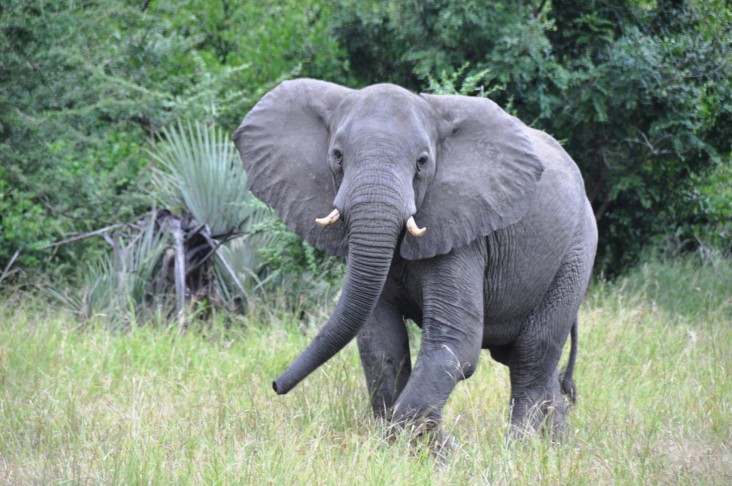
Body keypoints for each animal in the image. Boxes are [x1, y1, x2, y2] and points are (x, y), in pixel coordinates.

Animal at [234, 79, 596, 436]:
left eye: (422, 162)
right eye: (337, 156)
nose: (275, 385)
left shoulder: (462, 229)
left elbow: (455, 343)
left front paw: (433, 446)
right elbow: (380, 343)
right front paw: (402, 444)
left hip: (575, 254)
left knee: (532, 356)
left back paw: (519, 447)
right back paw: (555, 446)